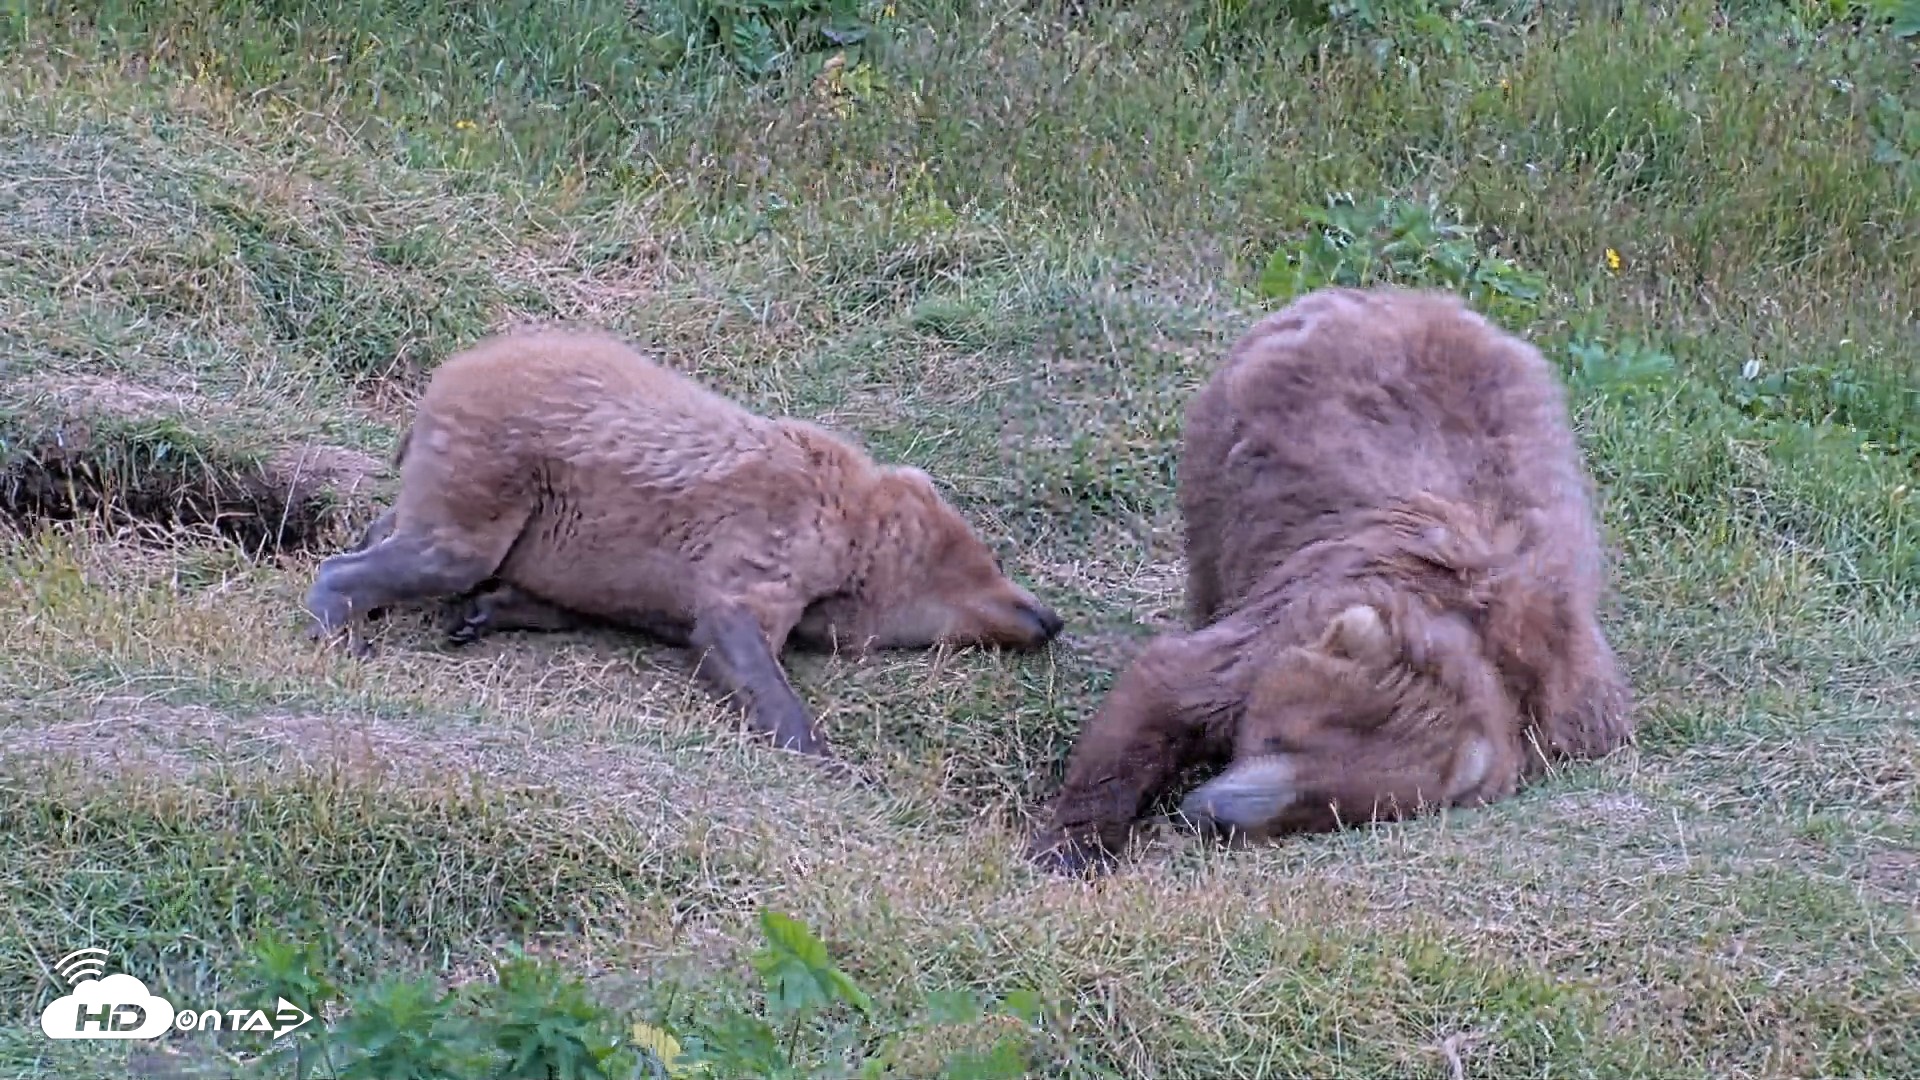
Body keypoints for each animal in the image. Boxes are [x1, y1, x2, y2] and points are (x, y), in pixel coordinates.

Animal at [304, 327, 1065, 758]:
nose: (1048, 617)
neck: (850, 529)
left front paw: (490, 611)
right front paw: (812, 744)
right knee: (446, 551)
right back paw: (341, 619)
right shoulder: (774, 538)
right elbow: (732, 626)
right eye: (988, 562)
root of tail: (444, 377)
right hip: (496, 462)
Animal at [1025, 286, 1635, 874]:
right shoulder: (1300, 611)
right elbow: (1170, 685)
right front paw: (1072, 846)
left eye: (1329, 806)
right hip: (1228, 449)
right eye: (1278, 736)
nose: (1212, 814)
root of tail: (1414, 296)